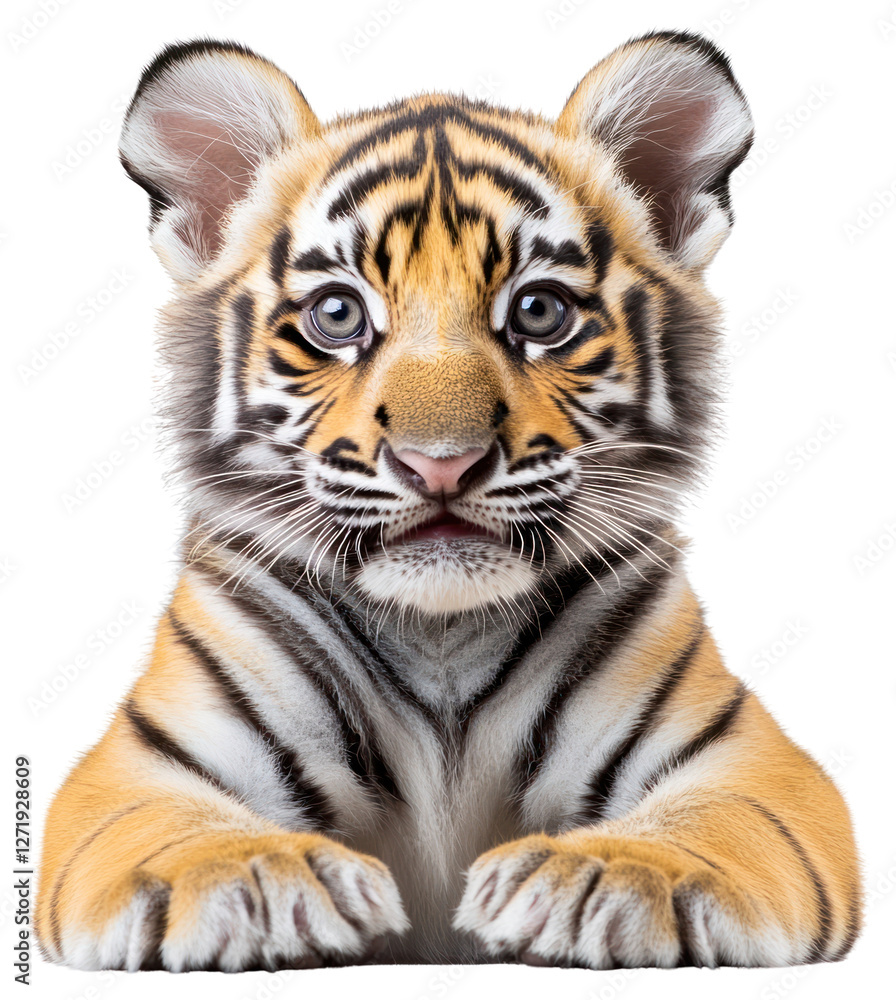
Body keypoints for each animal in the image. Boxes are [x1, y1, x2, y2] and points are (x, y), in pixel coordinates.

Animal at [35, 31, 862, 972]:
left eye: (538, 311)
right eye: (336, 315)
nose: (441, 464)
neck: (441, 635)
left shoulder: (753, 764)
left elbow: (710, 822)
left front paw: (597, 877)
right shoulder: (134, 771)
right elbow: (178, 830)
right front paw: (260, 878)